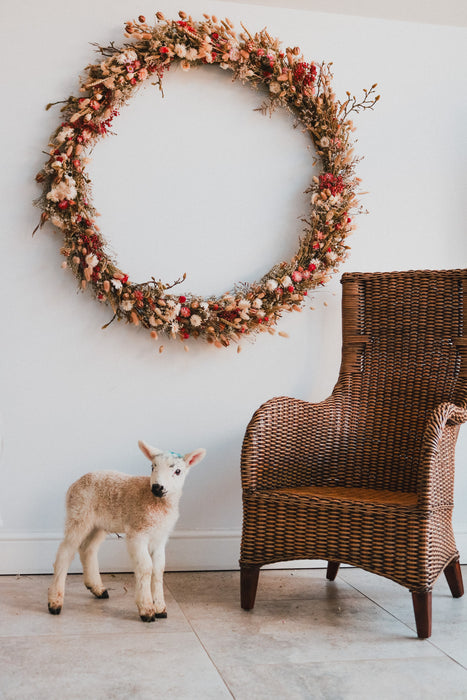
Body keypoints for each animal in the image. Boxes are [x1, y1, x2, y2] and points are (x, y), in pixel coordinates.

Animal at [48, 440, 207, 620]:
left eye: (178, 471)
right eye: (153, 466)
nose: (157, 487)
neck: (156, 502)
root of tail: (74, 484)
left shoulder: (160, 537)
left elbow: (159, 569)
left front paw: (160, 608)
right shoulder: (137, 534)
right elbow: (146, 567)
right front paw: (147, 609)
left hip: (99, 524)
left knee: (87, 549)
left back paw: (97, 589)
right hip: (78, 514)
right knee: (65, 552)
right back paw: (55, 602)